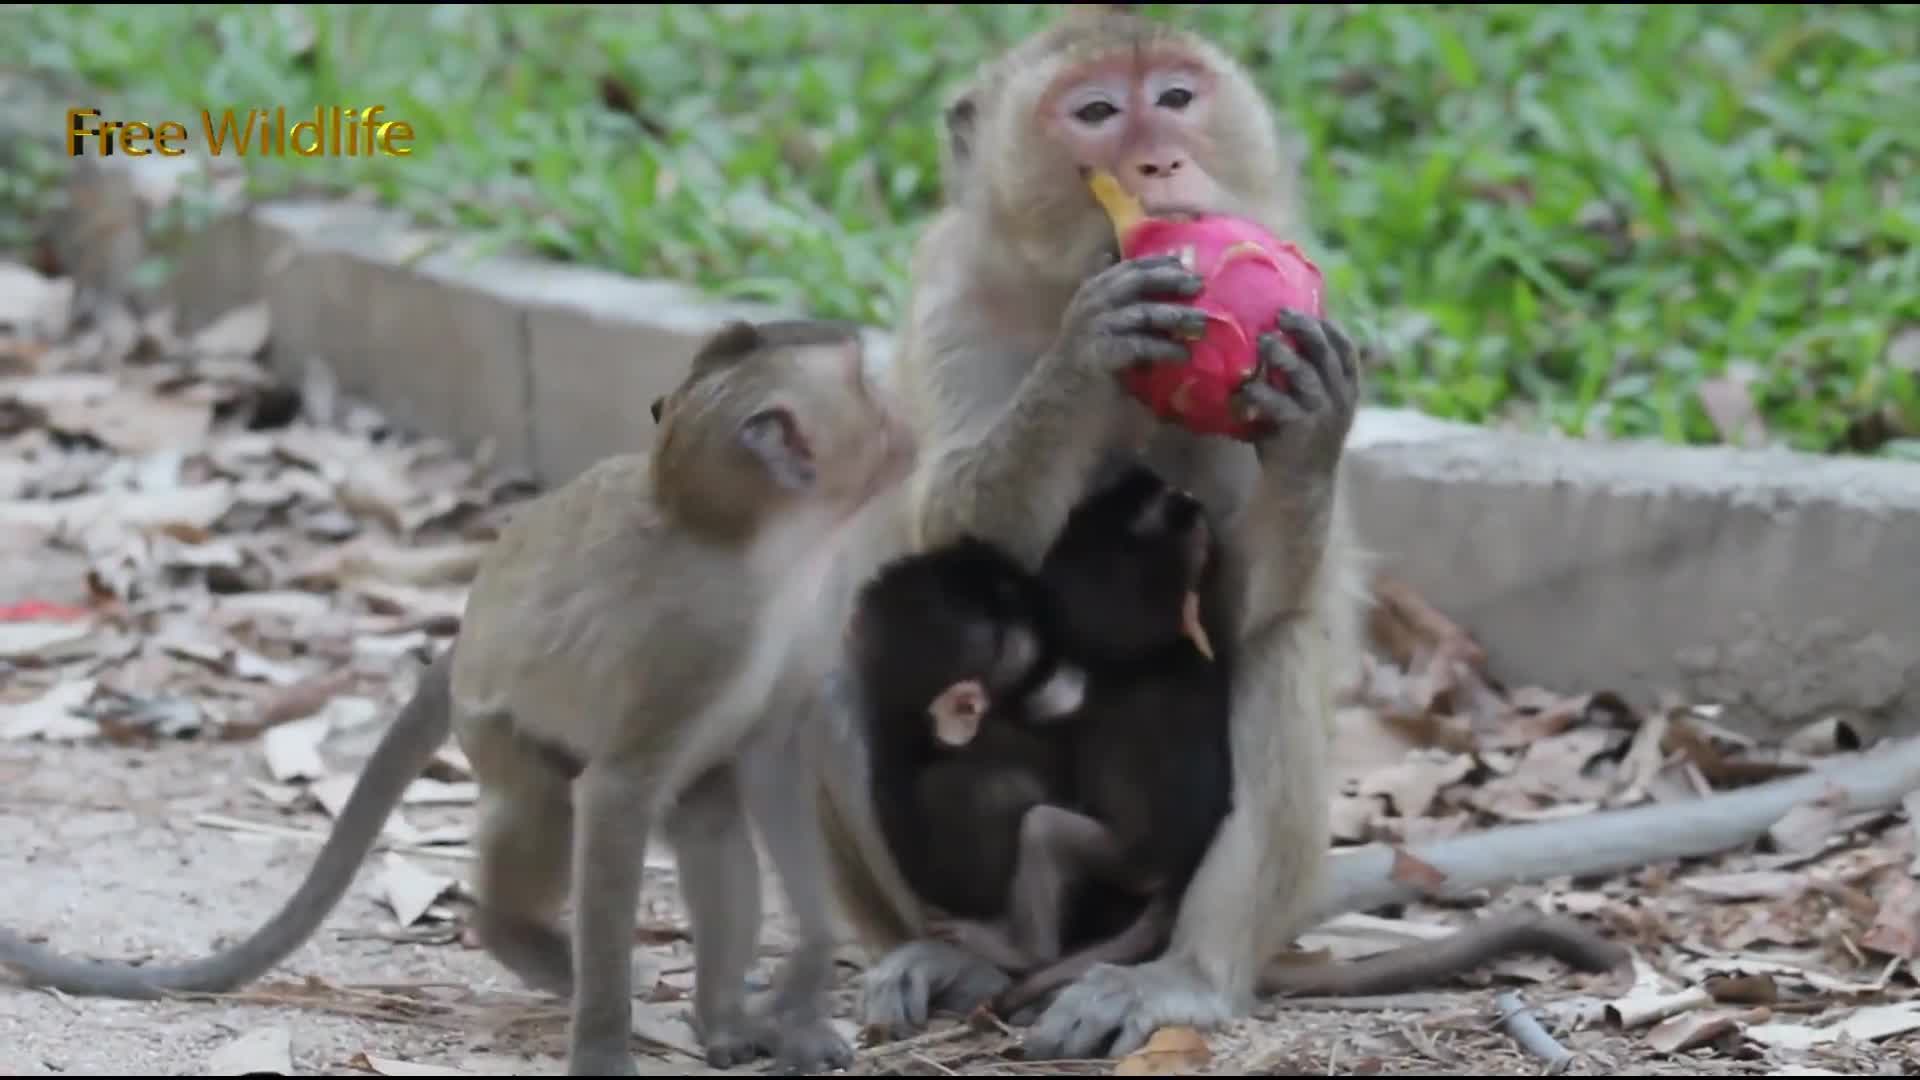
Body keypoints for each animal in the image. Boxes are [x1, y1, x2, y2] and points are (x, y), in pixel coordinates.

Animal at [810, 4, 1367, 1053]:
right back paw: (962, 954)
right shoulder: (953, 300)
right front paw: (1085, 351)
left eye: (1178, 98)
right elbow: (956, 535)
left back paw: (1185, 977)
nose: (1158, 163)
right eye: (1099, 112)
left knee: (1276, 656)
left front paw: (1312, 421)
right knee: (832, 670)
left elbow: (1253, 604)